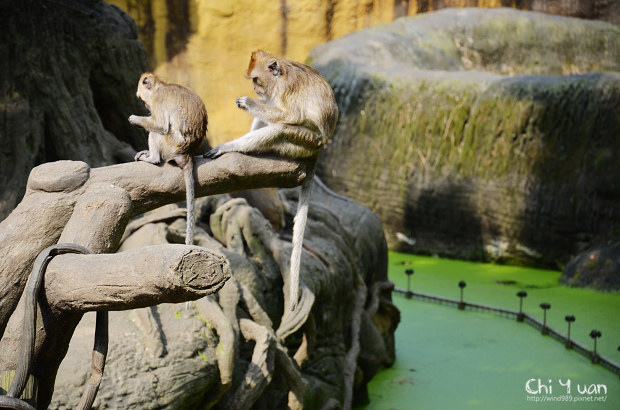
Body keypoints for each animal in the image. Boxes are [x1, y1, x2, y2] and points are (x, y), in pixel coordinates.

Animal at [128, 73, 208, 245]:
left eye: (142, 99)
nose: (147, 107)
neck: (161, 86)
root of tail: (187, 153)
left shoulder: (158, 99)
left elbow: (161, 125)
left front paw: (135, 120)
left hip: (170, 146)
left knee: (157, 132)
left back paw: (153, 159)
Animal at [206, 49, 336, 310]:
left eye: (256, 79)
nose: (255, 89)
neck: (280, 75)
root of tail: (320, 147)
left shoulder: (285, 89)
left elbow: (290, 115)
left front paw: (247, 102)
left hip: (303, 141)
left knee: (282, 127)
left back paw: (233, 146)